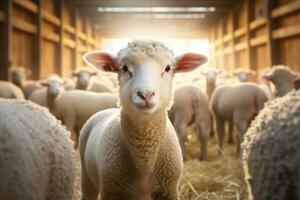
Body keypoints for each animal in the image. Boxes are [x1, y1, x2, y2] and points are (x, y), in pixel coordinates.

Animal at [78, 39, 207, 200]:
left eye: (168, 68)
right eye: (124, 68)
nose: (146, 94)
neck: (144, 163)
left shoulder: (168, 190)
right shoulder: (111, 191)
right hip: (86, 175)